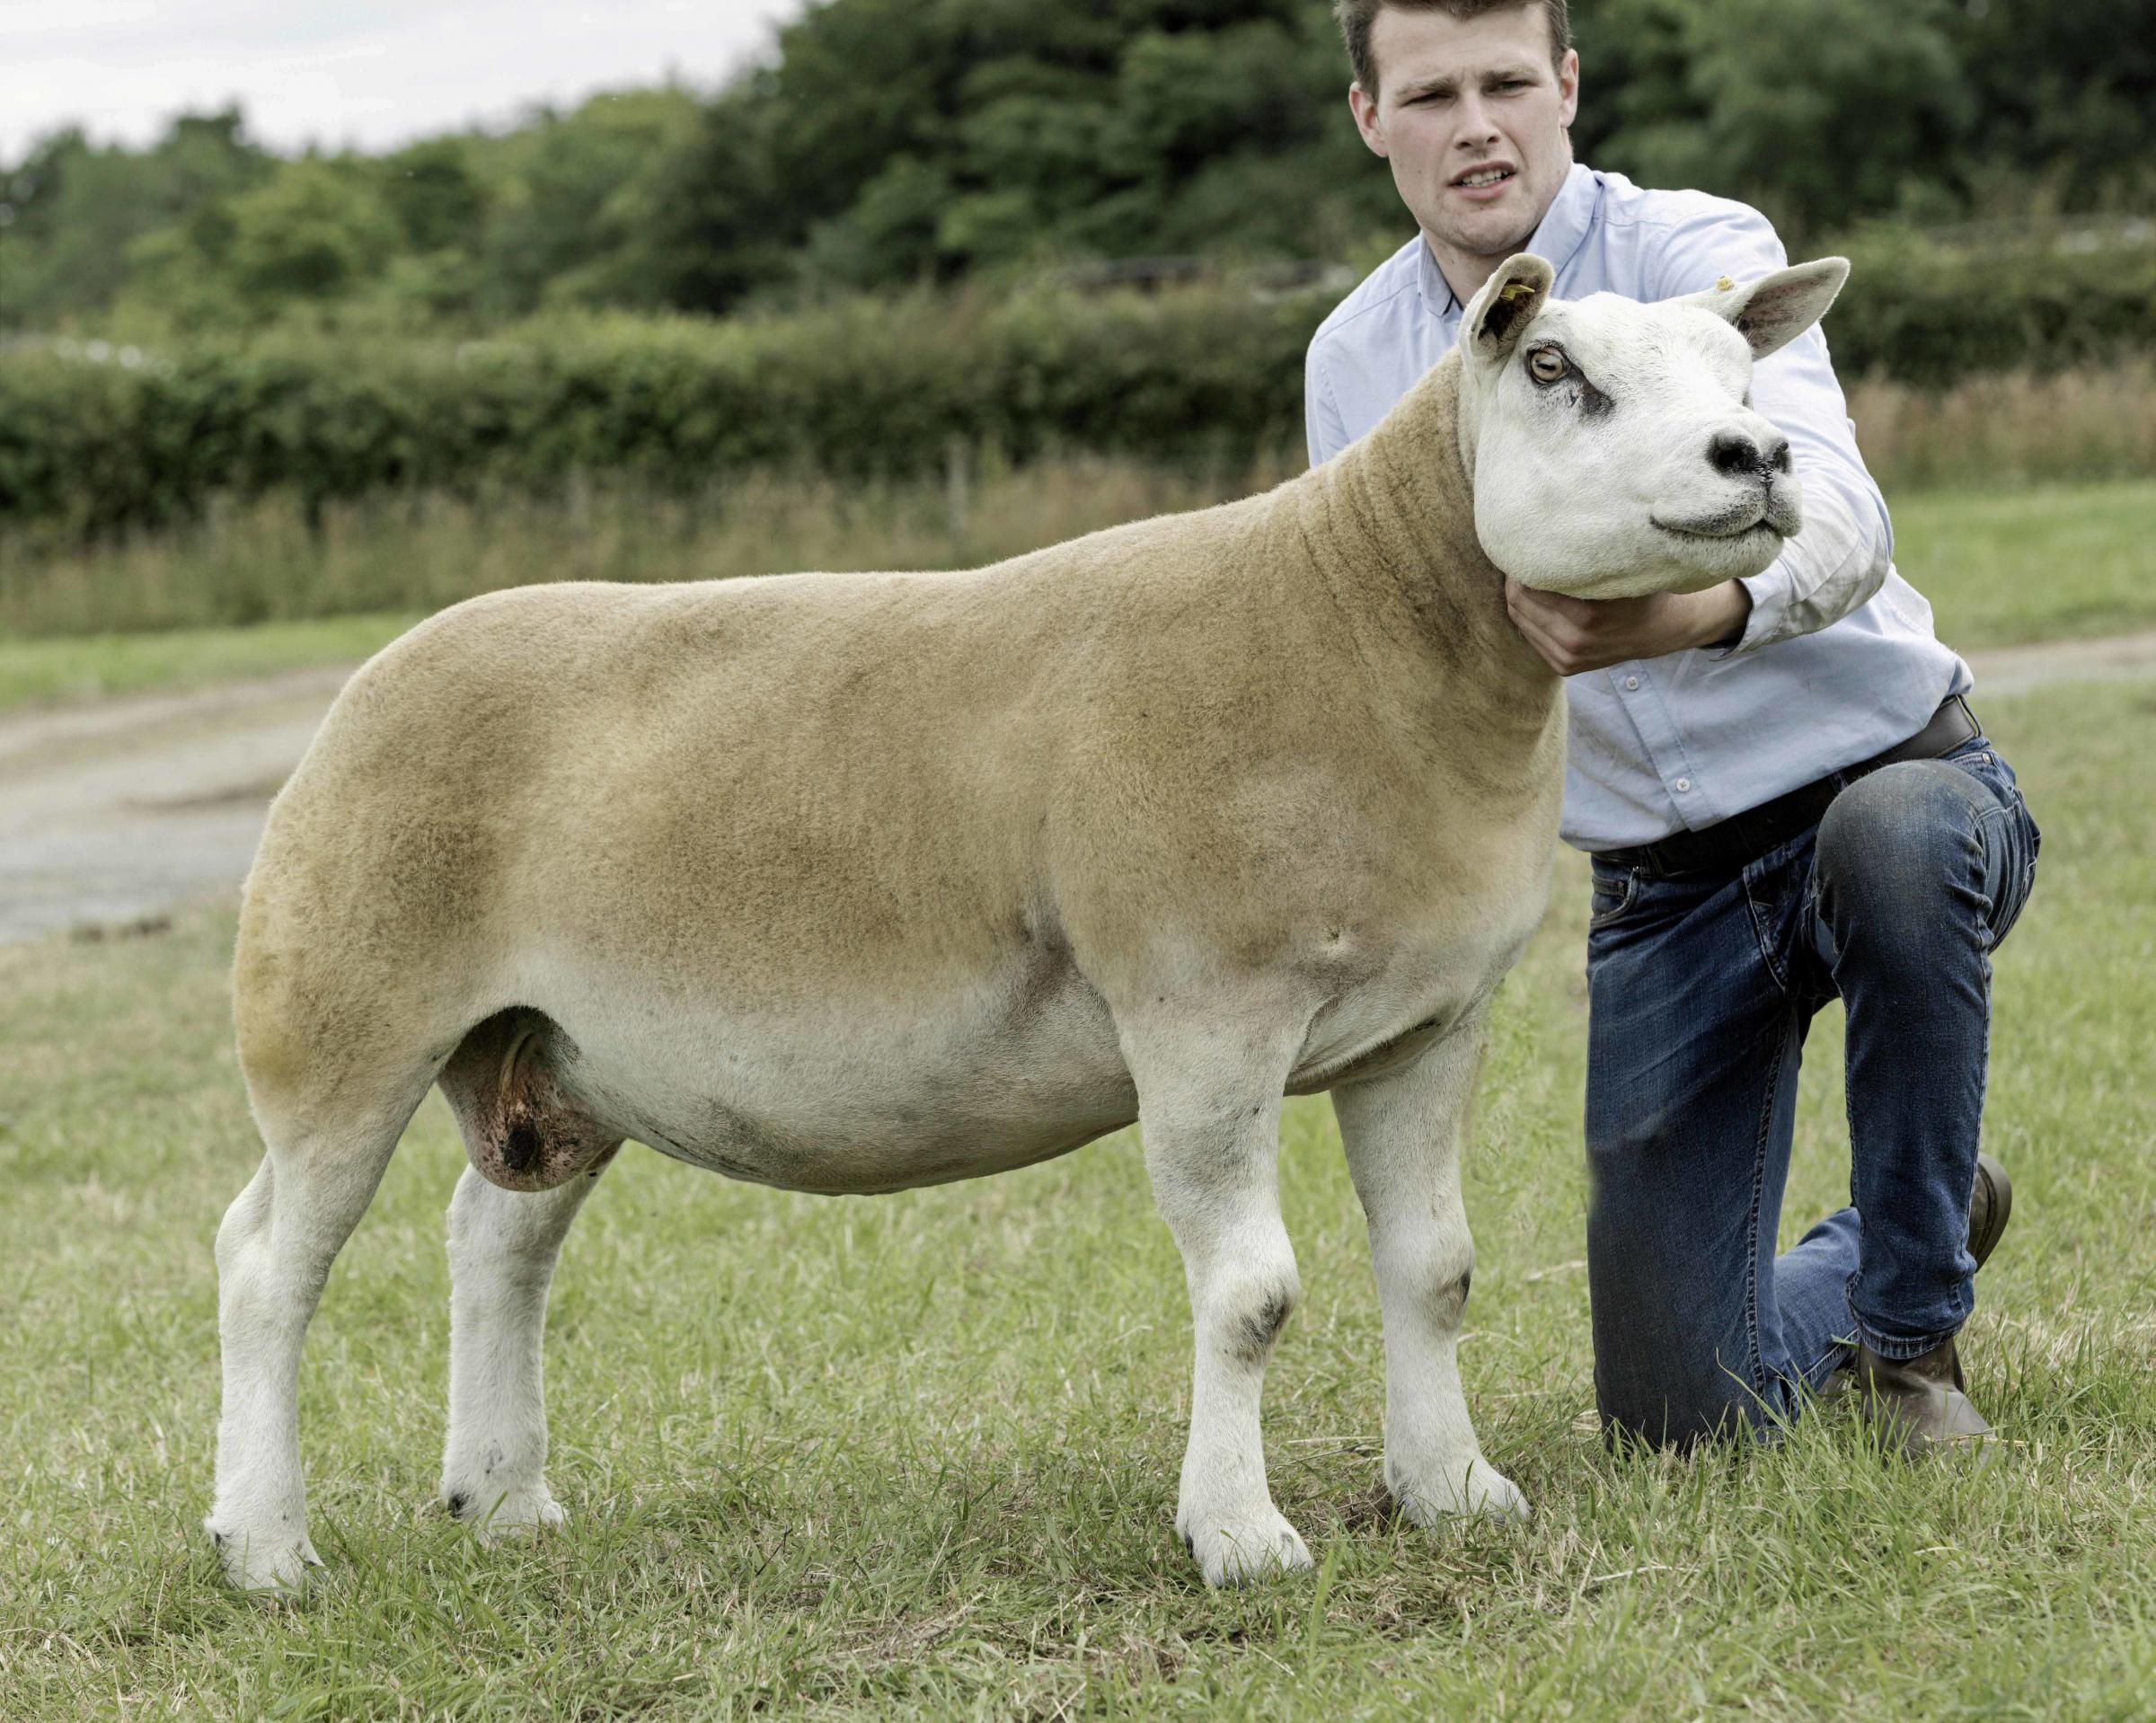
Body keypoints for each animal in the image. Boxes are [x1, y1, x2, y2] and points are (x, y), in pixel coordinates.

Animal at [210, 252, 1845, 1586]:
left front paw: (1453, 1491)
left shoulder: (1429, 1022)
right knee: (265, 1266)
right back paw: (267, 1547)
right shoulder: (1202, 1014)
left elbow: (1435, 1271)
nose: (1759, 455)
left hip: (552, 1050)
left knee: (496, 1239)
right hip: (342, 1021)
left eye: (1743, 375)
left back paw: (503, 1499)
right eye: (1558, 371)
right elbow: (1252, 1297)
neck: (1361, 629)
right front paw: (1241, 1537)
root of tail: (373, 678)